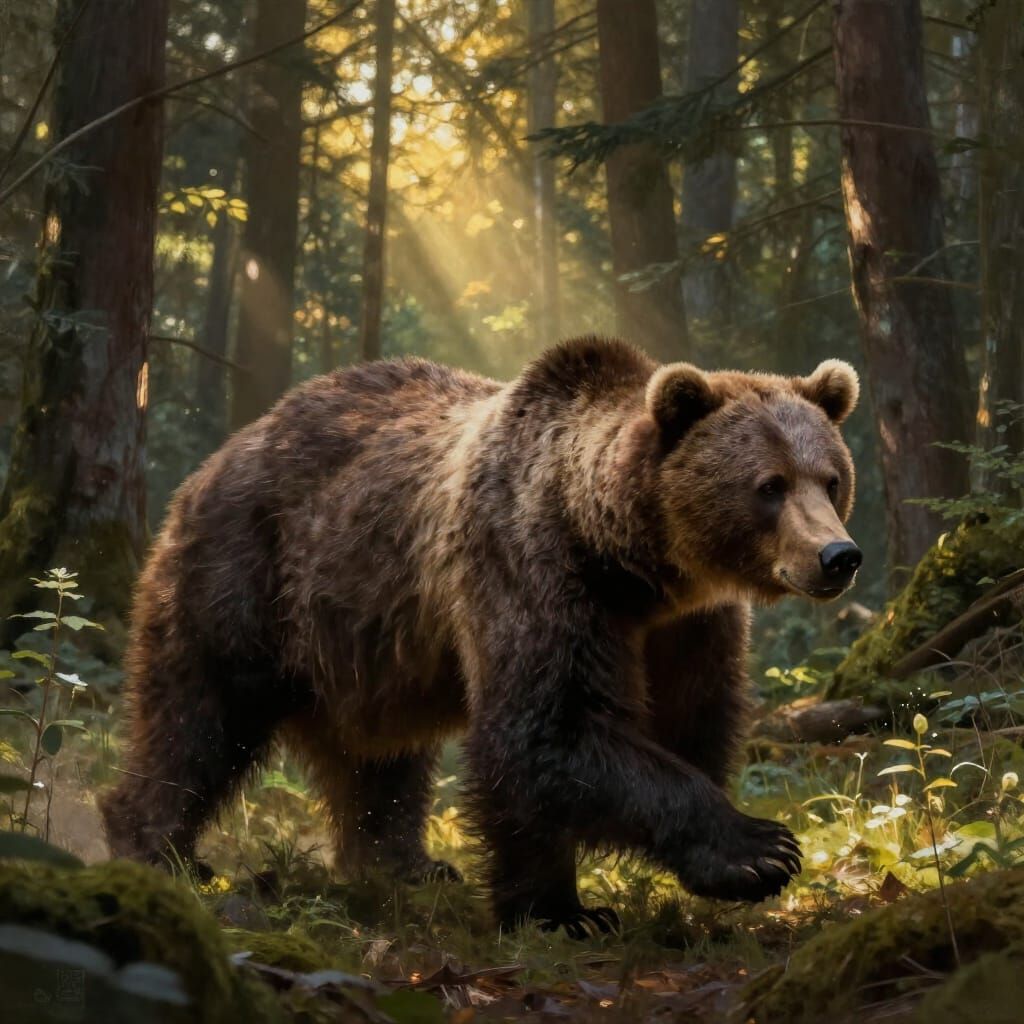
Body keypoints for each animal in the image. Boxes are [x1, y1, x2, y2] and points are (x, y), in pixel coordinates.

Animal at [100, 336, 861, 936]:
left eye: (830, 477)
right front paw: (750, 853)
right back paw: (158, 846)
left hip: (369, 643)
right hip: (245, 576)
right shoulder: (531, 568)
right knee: (198, 717)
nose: (838, 556)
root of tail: (221, 455)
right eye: (769, 484)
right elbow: (542, 732)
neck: (633, 563)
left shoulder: (688, 626)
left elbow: (690, 721)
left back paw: (405, 864)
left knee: (382, 762)